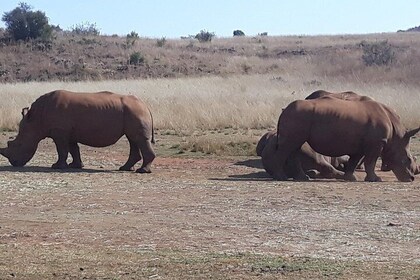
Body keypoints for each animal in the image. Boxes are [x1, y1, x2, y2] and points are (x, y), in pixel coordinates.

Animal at [0, 89, 156, 173]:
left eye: (18, 144)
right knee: (133, 139)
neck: (36, 119)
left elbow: (62, 150)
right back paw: (124, 168)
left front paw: (57, 167)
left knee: (138, 139)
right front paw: (75, 166)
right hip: (133, 111)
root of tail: (145, 105)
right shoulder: (68, 132)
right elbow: (73, 149)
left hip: (135, 111)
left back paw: (142, 171)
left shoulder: (59, 131)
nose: (14, 163)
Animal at [264, 97, 418, 183]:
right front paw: (375, 180)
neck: (395, 136)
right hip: (297, 116)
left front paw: (350, 178)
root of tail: (284, 110)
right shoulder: (377, 142)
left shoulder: (362, 145)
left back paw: (302, 178)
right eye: (408, 159)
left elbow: (354, 161)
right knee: (288, 147)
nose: (411, 179)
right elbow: (371, 161)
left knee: (294, 147)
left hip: (296, 117)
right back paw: (281, 177)